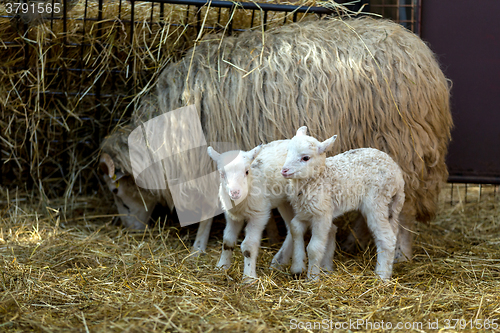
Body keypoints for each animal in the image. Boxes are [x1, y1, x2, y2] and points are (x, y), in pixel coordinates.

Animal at [208, 140, 296, 280]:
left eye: (247, 172)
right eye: (222, 174)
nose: (235, 192)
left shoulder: (258, 214)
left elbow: (248, 247)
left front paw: (249, 277)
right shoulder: (232, 215)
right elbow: (227, 241)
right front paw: (222, 267)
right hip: (284, 202)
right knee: (292, 227)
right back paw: (280, 261)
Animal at [282, 126, 406, 280]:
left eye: (305, 158)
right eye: (288, 151)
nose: (284, 170)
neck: (318, 178)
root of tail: (398, 176)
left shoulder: (322, 214)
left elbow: (314, 248)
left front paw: (312, 278)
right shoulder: (305, 211)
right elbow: (295, 228)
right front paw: (298, 266)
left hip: (377, 202)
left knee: (387, 239)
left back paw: (381, 277)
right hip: (391, 206)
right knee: (392, 233)